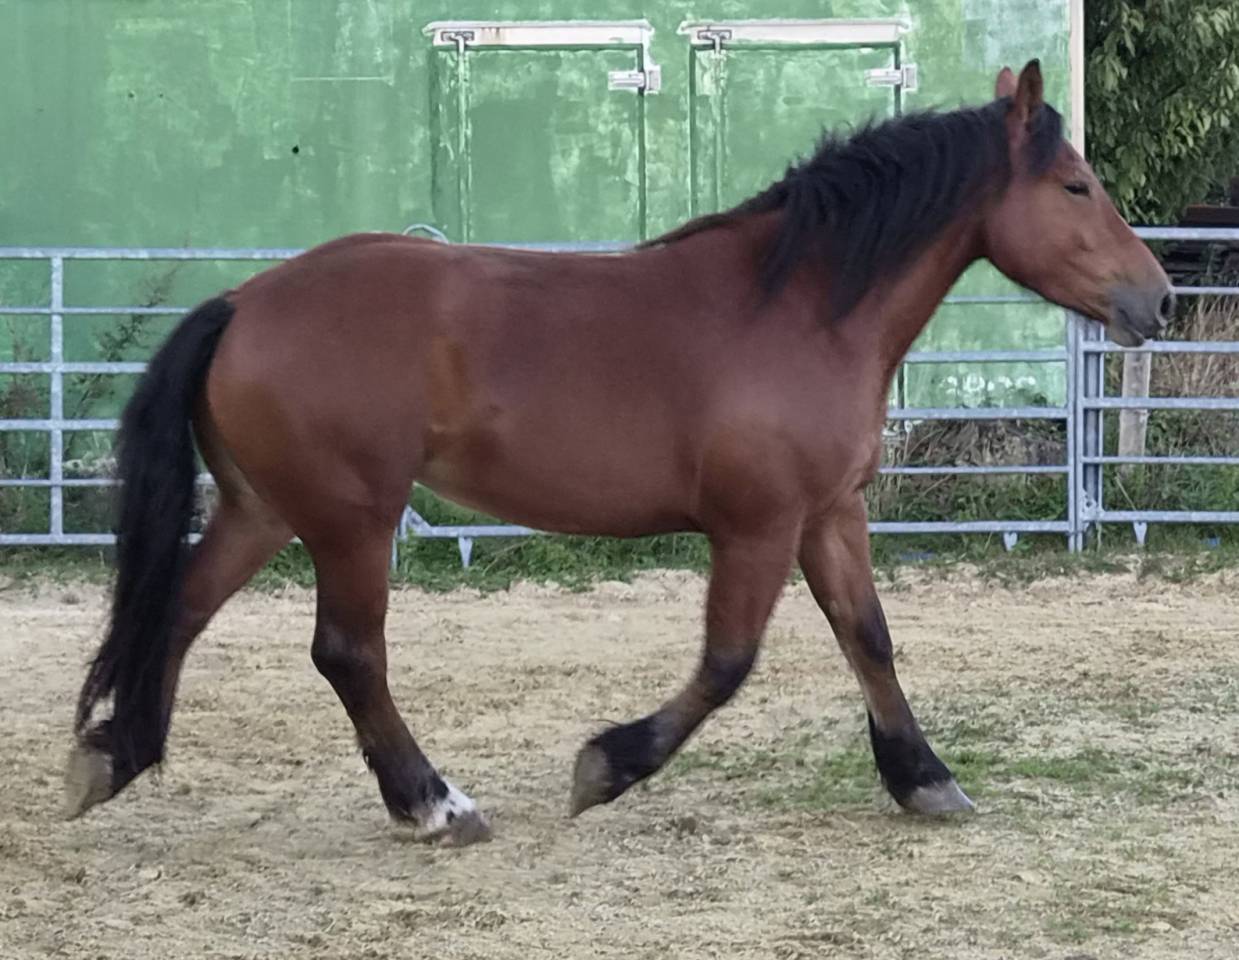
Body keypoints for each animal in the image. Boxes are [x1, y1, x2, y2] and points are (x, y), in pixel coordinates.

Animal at [65, 61, 1172, 845]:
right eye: (1076, 185)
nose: (1156, 300)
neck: (800, 308)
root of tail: (245, 300)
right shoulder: (757, 525)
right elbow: (727, 662)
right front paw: (607, 765)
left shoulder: (829, 514)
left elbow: (869, 638)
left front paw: (924, 779)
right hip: (350, 518)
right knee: (347, 653)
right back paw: (433, 804)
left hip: (263, 508)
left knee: (179, 612)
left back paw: (112, 757)